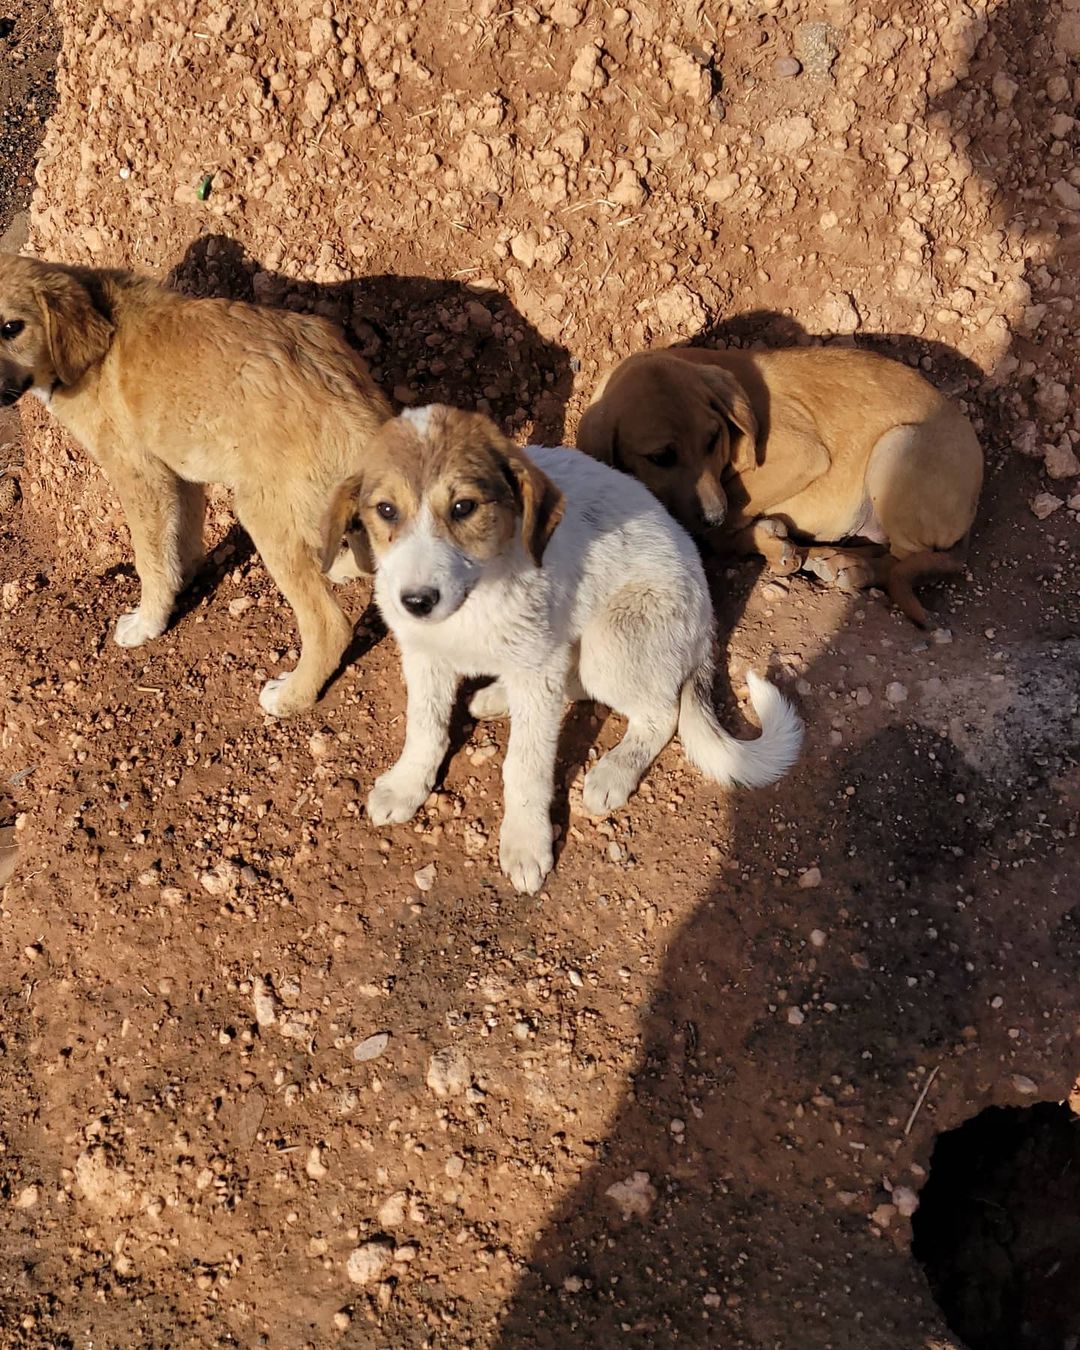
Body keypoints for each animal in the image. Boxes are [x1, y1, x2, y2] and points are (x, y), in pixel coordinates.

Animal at [0, 253, 391, 718]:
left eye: (11, 327)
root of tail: (361, 410)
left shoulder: (140, 475)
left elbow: (148, 558)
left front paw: (147, 622)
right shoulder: (178, 474)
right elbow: (178, 543)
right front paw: (178, 586)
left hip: (265, 516)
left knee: (329, 625)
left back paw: (292, 695)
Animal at [321, 407, 799, 896]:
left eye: (463, 508)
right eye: (386, 510)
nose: (417, 602)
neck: (475, 597)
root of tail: (707, 623)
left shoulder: (537, 667)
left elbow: (526, 765)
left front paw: (525, 841)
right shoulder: (424, 657)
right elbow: (424, 729)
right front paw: (407, 783)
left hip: (611, 641)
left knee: (660, 713)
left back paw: (614, 771)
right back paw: (496, 696)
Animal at [577, 345, 982, 623]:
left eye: (713, 439)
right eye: (661, 457)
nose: (713, 515)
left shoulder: (800, 454)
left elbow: (730, 515)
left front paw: (762, 540)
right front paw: (769, 542)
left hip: (896, 447)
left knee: (902, 558)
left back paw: (852, 567)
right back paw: (830, 557)